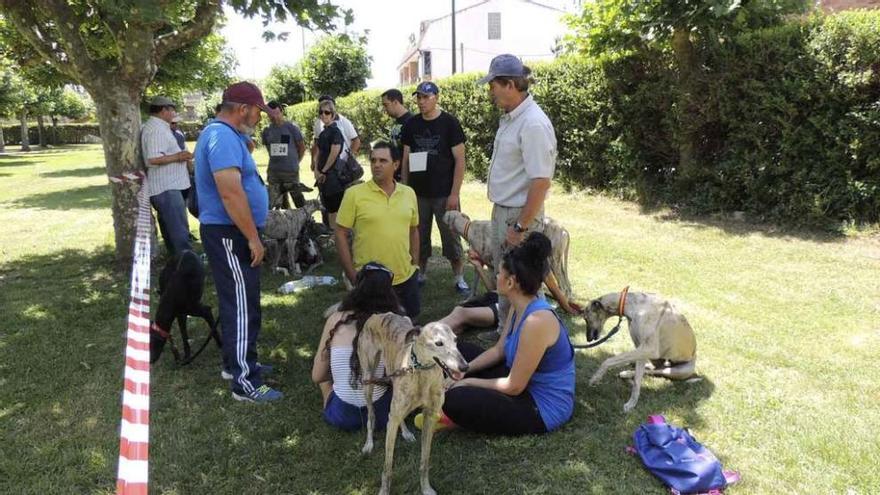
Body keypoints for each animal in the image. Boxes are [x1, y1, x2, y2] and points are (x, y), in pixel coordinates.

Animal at [360, 314, 470, 495]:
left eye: (455, 340)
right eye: (438, 343)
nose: (465, 367)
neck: (421, 371)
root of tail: (378, 314)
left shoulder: (430, 416)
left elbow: (424, 461)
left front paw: (426, 488)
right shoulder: (393, 420)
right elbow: (387, 467)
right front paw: (384, 490)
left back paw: (405, 433)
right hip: (368, 379)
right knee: (371, 414)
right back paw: (368, 443)